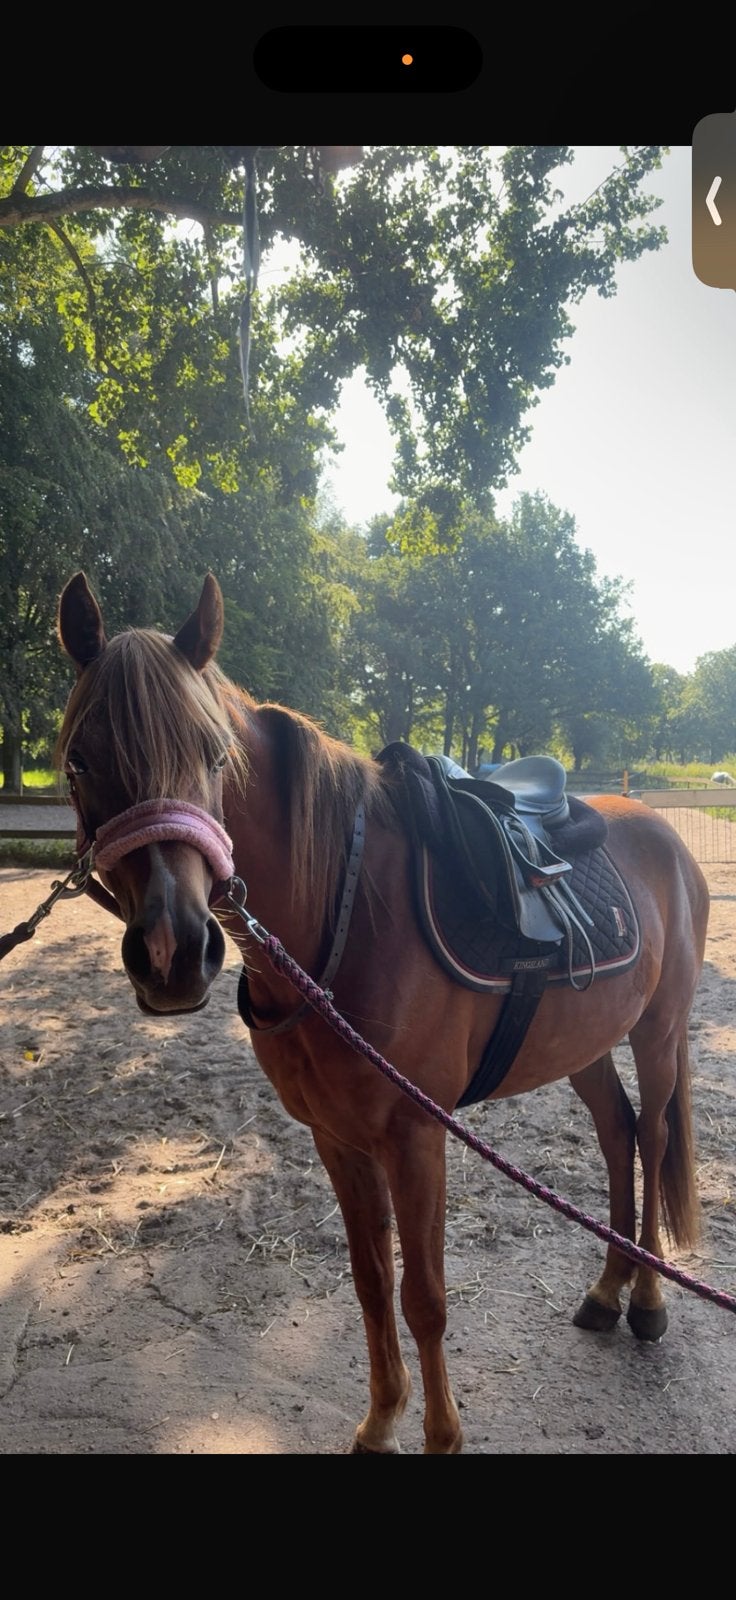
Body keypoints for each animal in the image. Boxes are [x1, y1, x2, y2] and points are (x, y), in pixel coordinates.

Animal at [55, 570, 710, 1455]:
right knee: (620, 1136)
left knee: (656, 1139)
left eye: (214, 755)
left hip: (659, 1033)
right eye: (80, 759)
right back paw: (606, 1294)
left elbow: (423, 1297)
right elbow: (370, 1284)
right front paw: (379, 1421)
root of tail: (663, 835)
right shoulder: (336, 1137)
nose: (172, 952)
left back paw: (646, 1301)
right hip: (587, 1044)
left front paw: (440, 1435)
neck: (347, 909)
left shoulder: (416, 1134)